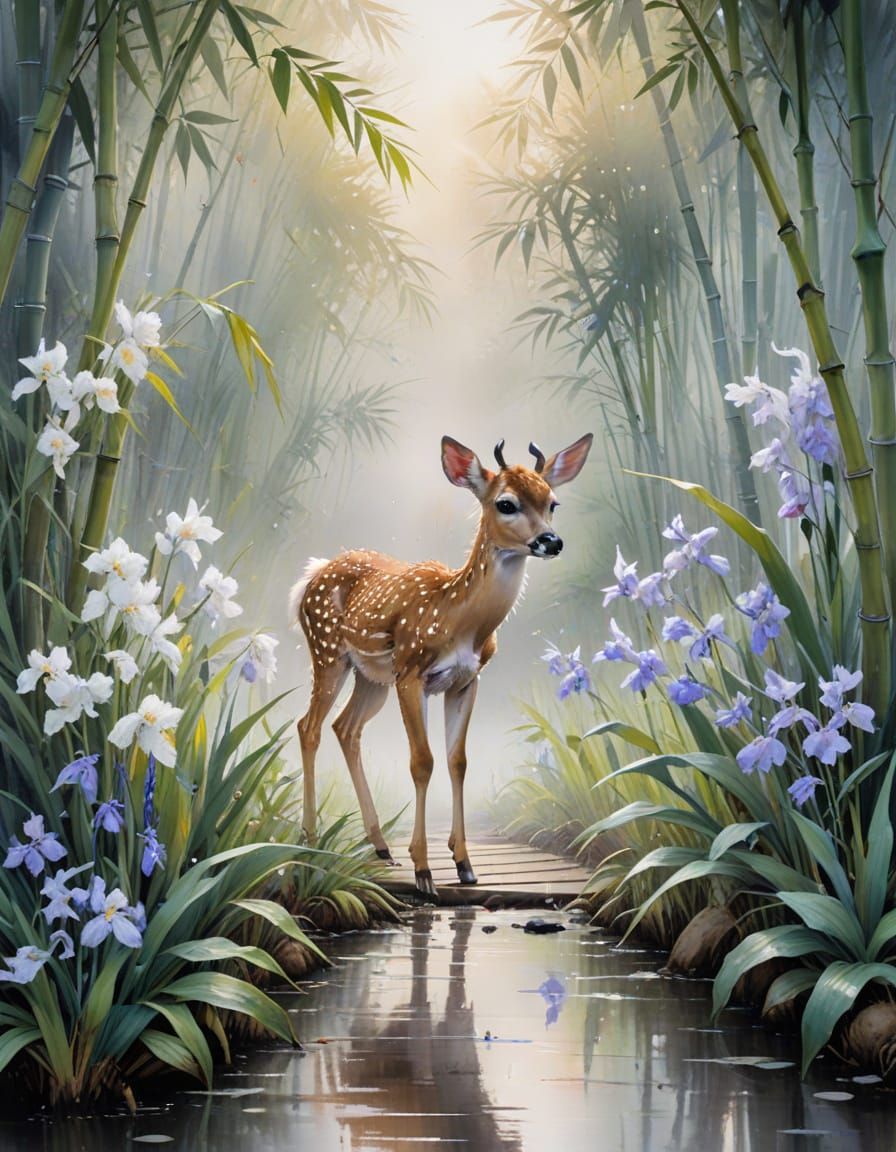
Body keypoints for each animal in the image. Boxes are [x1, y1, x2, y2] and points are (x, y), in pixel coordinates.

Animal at [289, 433, 592, 895]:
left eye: (552, 502)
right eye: (506, 503)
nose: (551, 541)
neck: (458, 619)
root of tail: (313, 572)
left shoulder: (466, 680)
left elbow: (458, 761)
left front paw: (465, 864)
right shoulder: (412, 672)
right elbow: (422, 761)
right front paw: (424, 871)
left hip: (371, 677)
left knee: (346, 727)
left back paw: (381, 846)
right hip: (327, 652)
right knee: (309, 726)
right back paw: (309, 840)